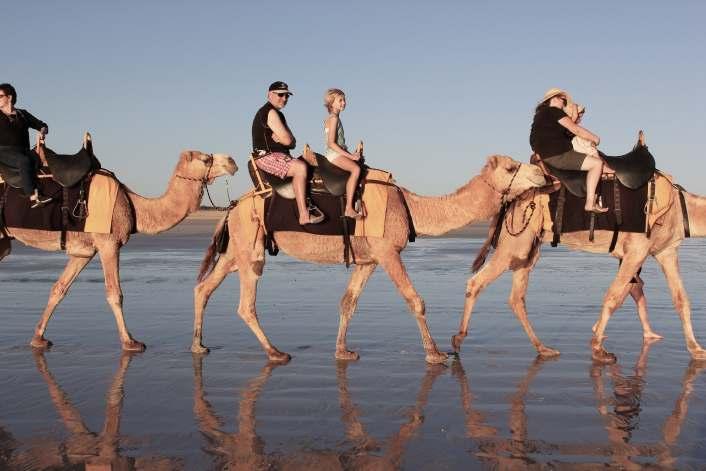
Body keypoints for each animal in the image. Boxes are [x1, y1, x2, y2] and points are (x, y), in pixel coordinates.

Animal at [0, 142, 236, 352]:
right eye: (205, 159)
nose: (232, 161)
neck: (132, 204)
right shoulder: (109, 243)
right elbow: (115, 293)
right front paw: (130, 342)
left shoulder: (85, 251)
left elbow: (59, 288)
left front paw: (38, 338)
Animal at [191, 155, 544, 366]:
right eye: (510, 167)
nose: (541, 173)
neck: (410, 206)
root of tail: (231, 206)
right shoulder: (388, 252)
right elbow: (415, 300)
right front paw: (435, 353)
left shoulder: (368, 260)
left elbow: (348, 302)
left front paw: (342, 351)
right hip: (250, 247)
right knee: (245, 304)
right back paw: (275, 352)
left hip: (236, 250)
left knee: (204, 288)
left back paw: (198, 345)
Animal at [452, 160, 704, 364]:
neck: (680, 208)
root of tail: (510, 201)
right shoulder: (637, 250)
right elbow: (613, 297)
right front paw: (599, 348)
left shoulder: (666, 251)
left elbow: (681, 300)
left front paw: (696, 349)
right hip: (514, 244)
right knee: (477, 282)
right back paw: (457, 340)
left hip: (528, 247)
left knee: (516, 298)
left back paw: (543, 348)